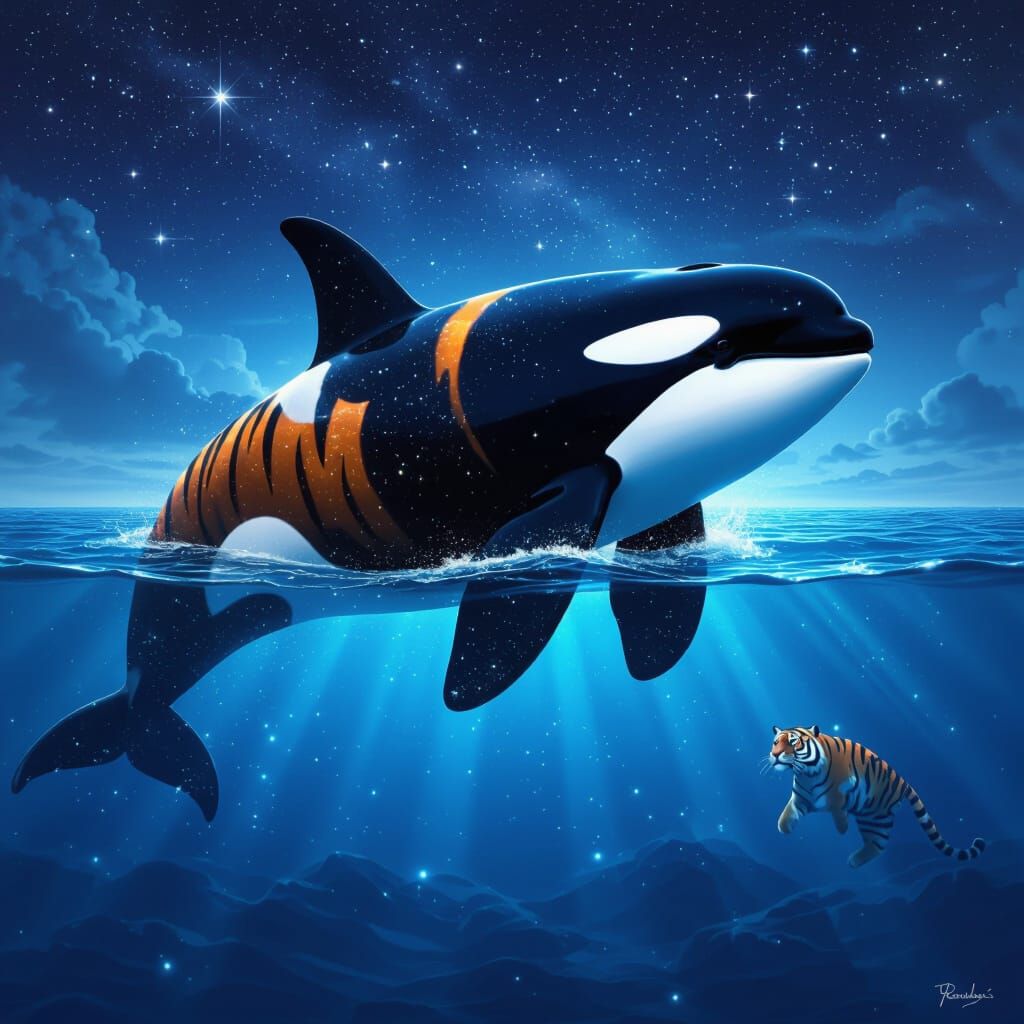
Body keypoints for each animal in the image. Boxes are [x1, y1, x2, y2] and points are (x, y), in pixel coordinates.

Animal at [766, 725, 986, 868]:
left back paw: (852, 861)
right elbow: (787, 814)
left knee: (879, 845)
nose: (775, 755)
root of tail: (903, 782)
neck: (805, 774)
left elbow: (838, 806)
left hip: (875, 815)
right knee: (877, 845)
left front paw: (842, 828)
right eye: (776, 742)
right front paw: (784, 828)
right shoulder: (800, 798)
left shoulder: (840, 789)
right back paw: (854, 861)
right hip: (872, 819)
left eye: (793, 742)